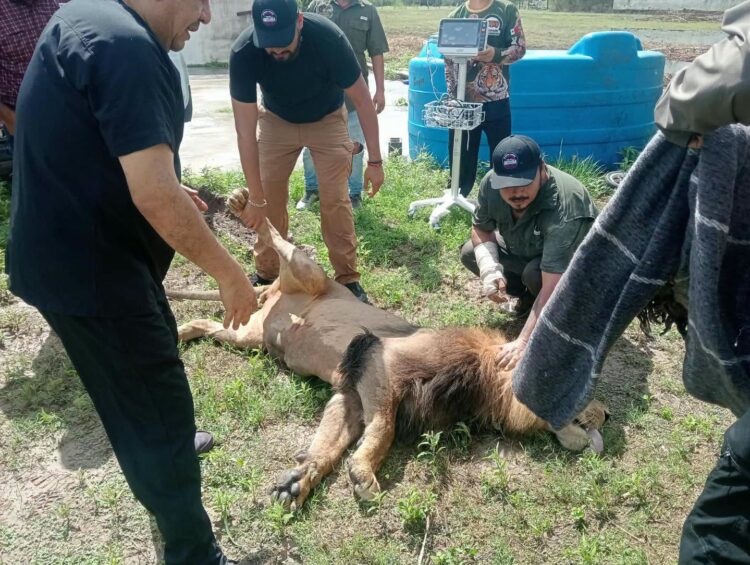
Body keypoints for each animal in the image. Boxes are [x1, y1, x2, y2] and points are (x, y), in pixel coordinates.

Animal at [173, 188, 608, 510]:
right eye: (585, 389)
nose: (607, 414)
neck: (485, 383)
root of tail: (272, 290)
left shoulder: (349, 394)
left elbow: (327, 446)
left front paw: (297, 483)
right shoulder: (380, 365)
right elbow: (384, 430)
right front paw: (363, 474)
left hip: (250, 336)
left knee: (208, 324)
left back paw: (179, 333)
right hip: (308, 273)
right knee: (277, 237)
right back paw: (243, 208)